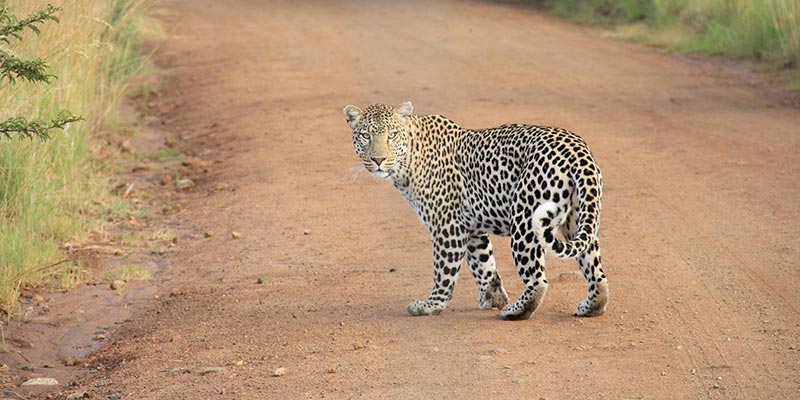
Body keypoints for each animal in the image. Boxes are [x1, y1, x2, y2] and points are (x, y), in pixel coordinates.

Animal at [340, 101, 608, 320]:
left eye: (392, 135)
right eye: (365, 135)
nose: (378, 160)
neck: (408, 161)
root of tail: (577, 150)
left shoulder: (447, 226)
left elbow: (444, 270)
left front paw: (431, 305)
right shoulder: (471, 228)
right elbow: (484, 264)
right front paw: (493, 297)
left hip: (525, 220)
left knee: (537, 280)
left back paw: (516, 311)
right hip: (578, 219)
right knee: (596, 271)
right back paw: (591, 306)